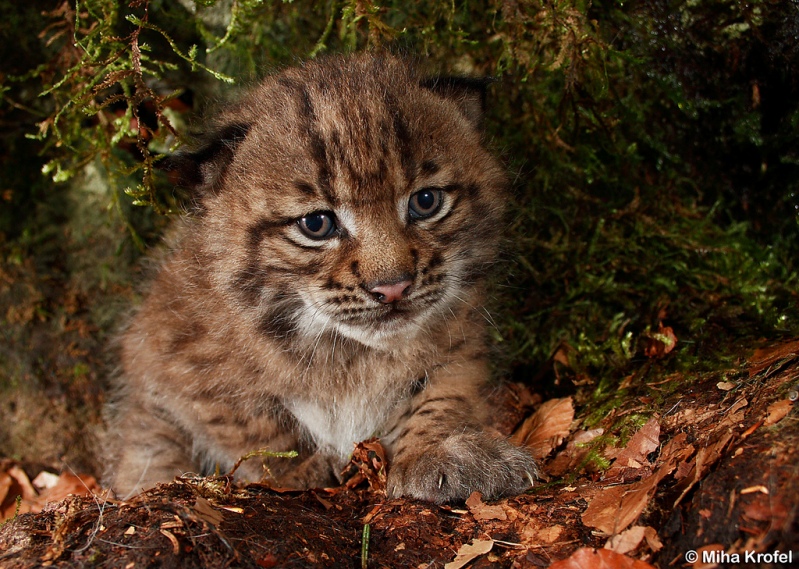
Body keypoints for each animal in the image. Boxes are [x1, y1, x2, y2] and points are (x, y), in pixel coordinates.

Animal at [104, 53, 536, 502]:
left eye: (426, 201)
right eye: (316, 224)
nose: (393, 286)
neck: (350, 354)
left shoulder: (461, 335)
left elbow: (447, 390)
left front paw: (442, 448)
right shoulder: (169, 356)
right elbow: (246, 421)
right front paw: (301, 468)